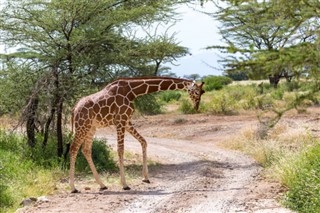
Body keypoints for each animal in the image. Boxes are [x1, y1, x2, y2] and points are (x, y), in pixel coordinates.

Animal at [69, 76, 205, 193]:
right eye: (196, 92)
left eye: (202, 92)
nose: (196, 106)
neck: (133, 91)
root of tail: (74, 109)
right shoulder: (121, 121)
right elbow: (120, 149)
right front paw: (125, 184)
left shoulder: (127, 122)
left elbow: (143, 141)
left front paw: (146, 178)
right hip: (82, 126)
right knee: (74, 148)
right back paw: (73, 188)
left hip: (91, 127)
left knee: (86, 150)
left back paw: (102, 185)